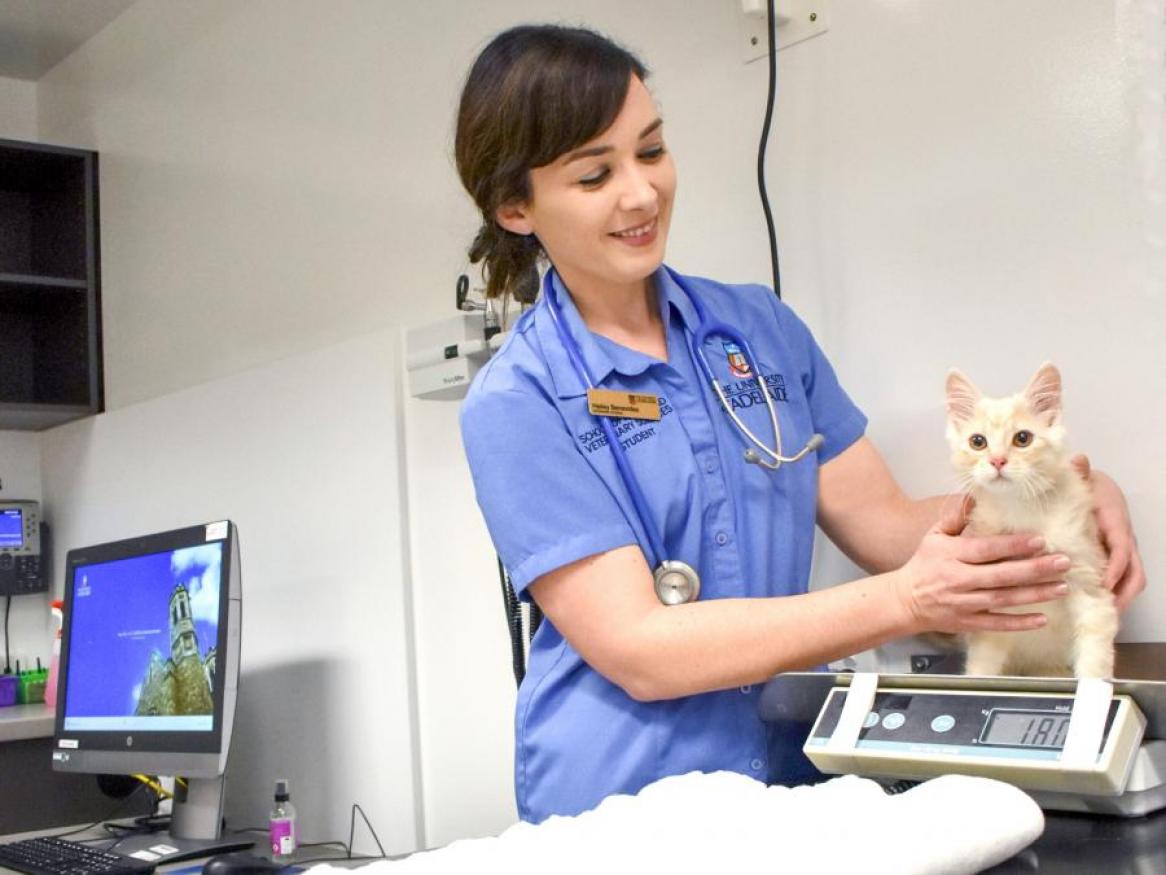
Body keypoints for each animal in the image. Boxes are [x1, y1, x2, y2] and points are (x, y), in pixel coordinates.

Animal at [942, 364, 1114, 676]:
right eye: (978, 442)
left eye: (1023, 438)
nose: (997, 461)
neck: (1020, 507)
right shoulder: (990, 613)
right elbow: (982, 663)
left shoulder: (1089, 581)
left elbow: (1095, 652)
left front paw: (1093, 687)